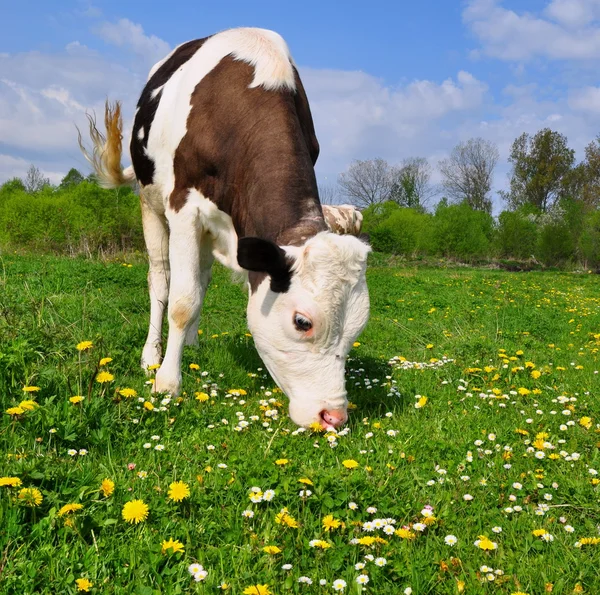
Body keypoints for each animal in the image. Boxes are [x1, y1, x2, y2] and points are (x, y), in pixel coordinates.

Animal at [79, 26, 370, 428]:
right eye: (302, 322)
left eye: (359, 326)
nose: (333, 416)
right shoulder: (183, 206)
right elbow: (181, 301)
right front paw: (167, 383)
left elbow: (196, 291)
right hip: (149, 203)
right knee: (161, 279)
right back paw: (152, 355)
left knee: (200, 278)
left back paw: (191, 344)